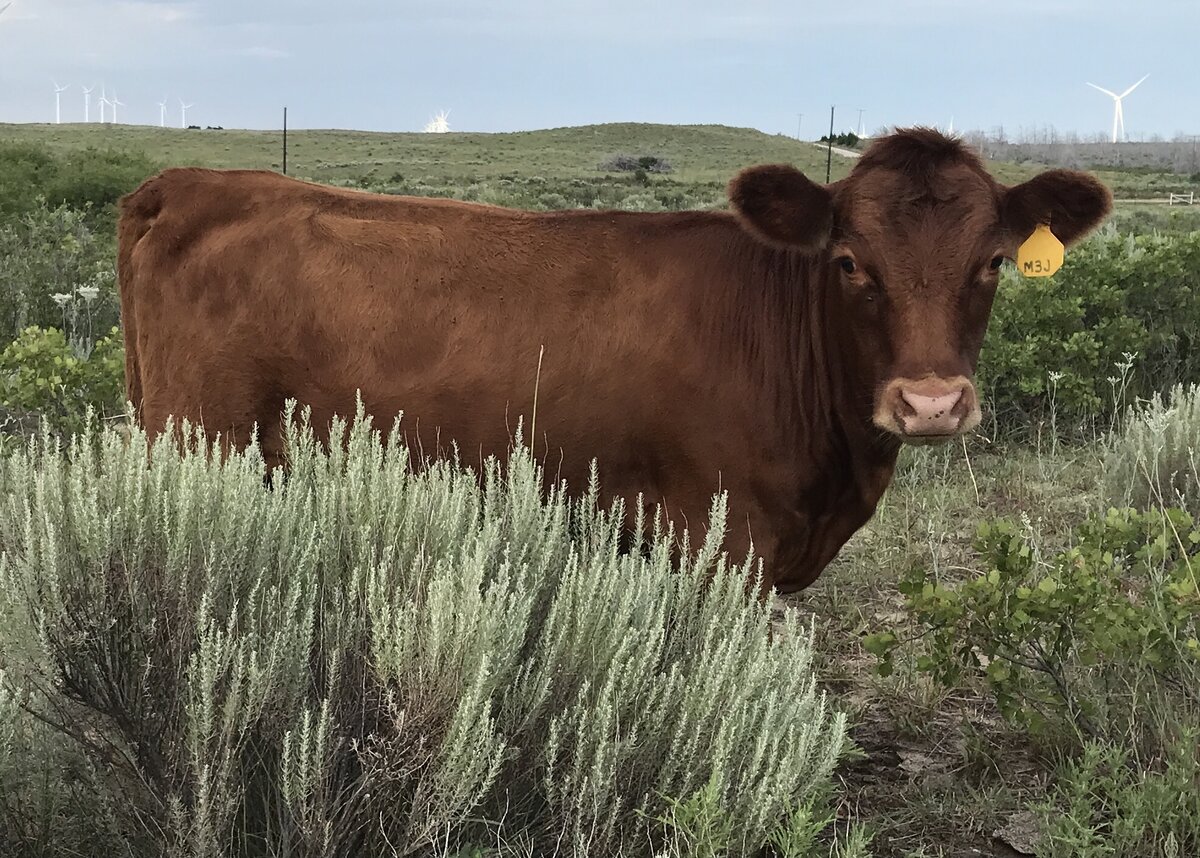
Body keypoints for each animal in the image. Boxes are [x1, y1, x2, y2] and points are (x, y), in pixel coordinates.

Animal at [116, 128, 1111, 592]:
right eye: (848, 262)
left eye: (992, 263)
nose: (931, 404)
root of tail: (193, 184)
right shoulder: (720, 537)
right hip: (204, 441)